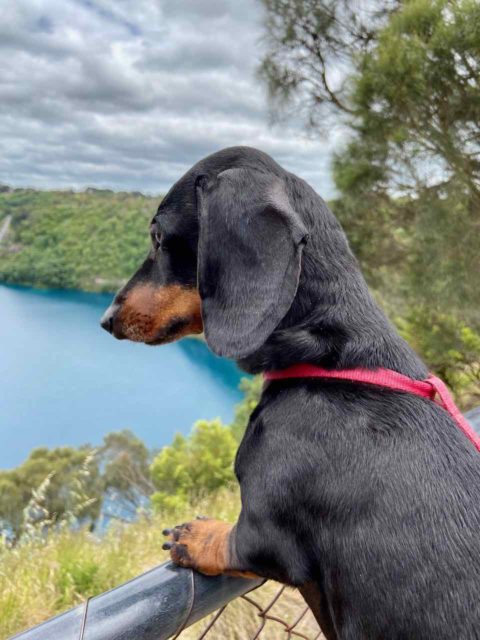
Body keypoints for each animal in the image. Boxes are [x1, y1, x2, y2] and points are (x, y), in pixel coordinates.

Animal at [101, 148, 480, 636]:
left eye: (157, 236)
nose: (106, 318)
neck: (332, 362)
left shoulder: (266, 532)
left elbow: (234, 543)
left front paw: (197, 536)